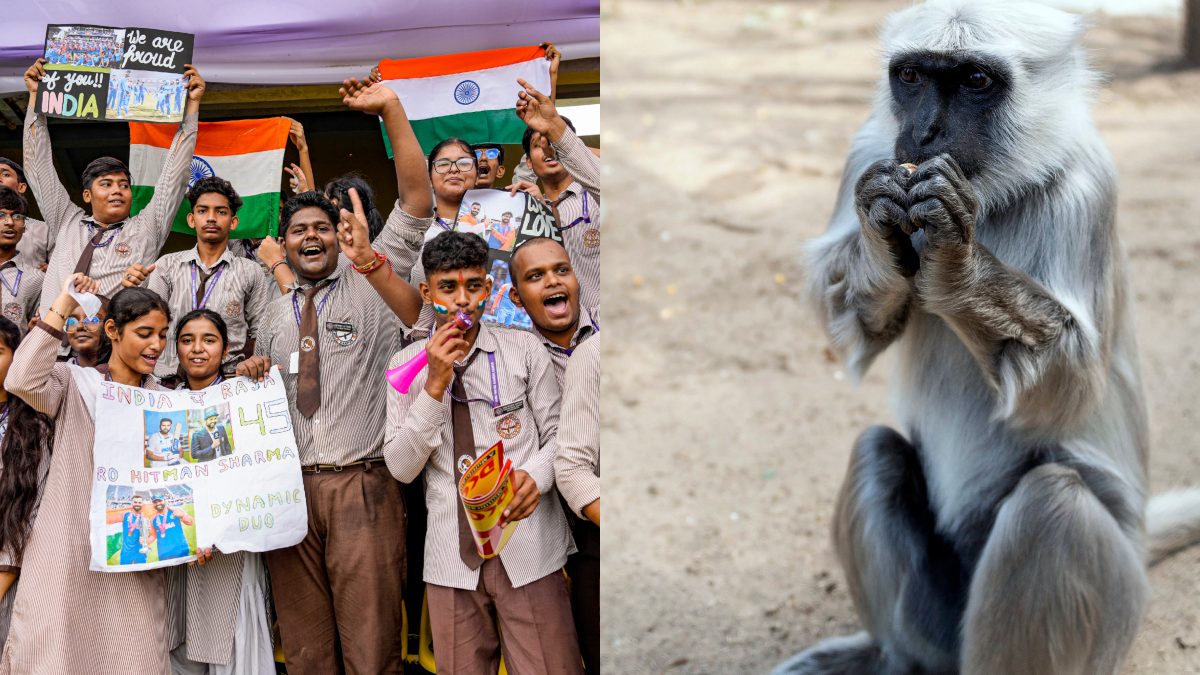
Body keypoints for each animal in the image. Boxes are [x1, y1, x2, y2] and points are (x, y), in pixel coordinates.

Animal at [774, 2, 1200, 674]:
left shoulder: (1089, 186)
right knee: (876, 451)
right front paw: (881, 238)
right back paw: (898, 661)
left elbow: (1067, 392)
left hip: (1117, 600)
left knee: (1052, 503)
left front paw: (957, 265)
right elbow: (847, 322)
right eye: (913, 77)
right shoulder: (869, 149)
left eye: (975, 81)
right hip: (941, 616)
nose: (923, 135)